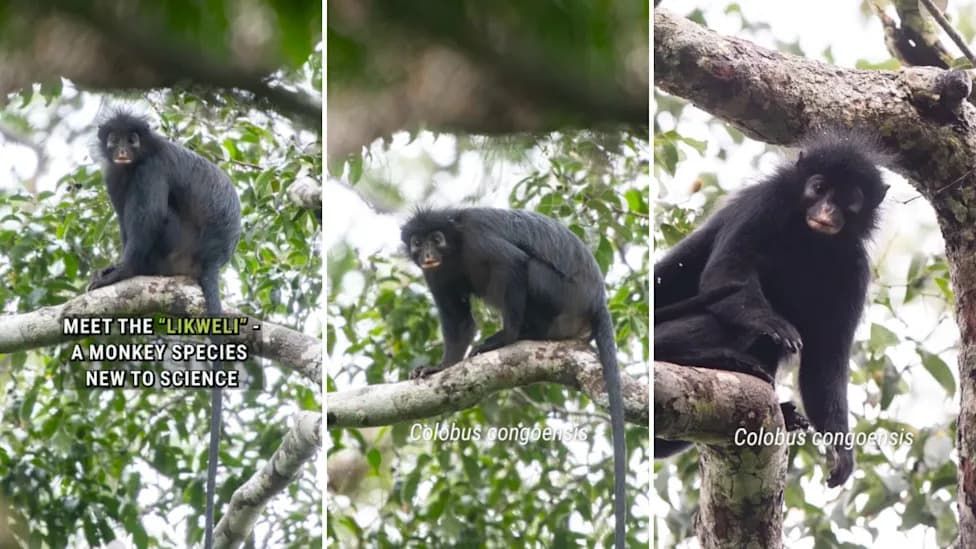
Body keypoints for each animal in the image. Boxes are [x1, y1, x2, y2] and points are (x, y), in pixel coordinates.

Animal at [88, 111, 241, 548]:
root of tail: (211, 259)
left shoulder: (150, 169)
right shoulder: (114, 174)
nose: (123, 150)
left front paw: (120, 272)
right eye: (116, 139)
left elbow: (148, 217)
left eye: (134, 139)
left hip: (175, 246)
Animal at [401, 207, 627, 547]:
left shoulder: (477, 238)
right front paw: (439, 368)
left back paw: (520, 334)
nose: (428, 253)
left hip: (561, 295)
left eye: (436, 239)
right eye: (418, 242)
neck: (455, 248)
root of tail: (596, 300)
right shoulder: (436, 274)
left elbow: (513, 264)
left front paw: (506, 337)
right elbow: (459, 321)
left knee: (527, 267)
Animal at [652, 130, 889, 487]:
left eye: (849, 198)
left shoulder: (855, 267)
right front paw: (771, 323)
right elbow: (727, 274)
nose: (827, 209)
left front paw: (841, 451)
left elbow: (825, 360)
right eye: (819, 188)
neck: (809, 240)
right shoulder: (764, 202)